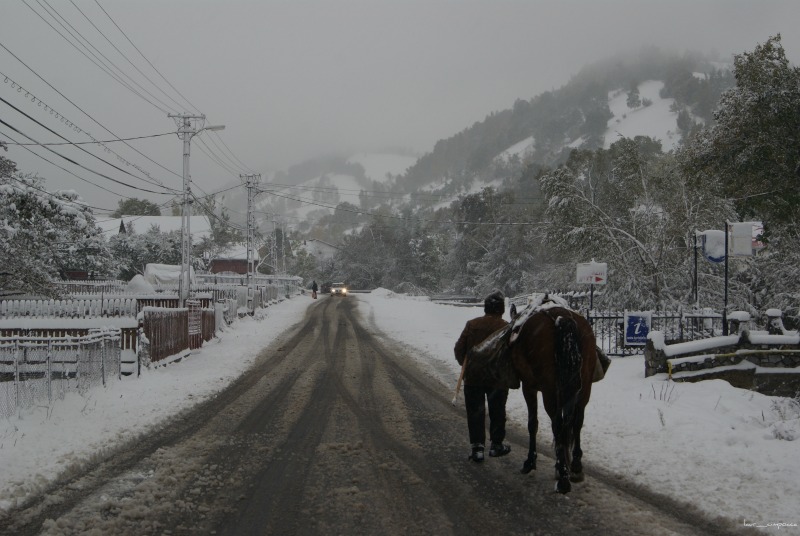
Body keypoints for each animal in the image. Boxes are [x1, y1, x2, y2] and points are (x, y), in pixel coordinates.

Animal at [510, 304, 596, 492]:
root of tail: (562, 318)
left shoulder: (529, 387)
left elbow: (533, 424)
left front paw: (530, 461)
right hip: (584, 386)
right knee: (576, 422)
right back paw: (575, 466)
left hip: (549, 390)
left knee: (557, 424)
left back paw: (563, 477)